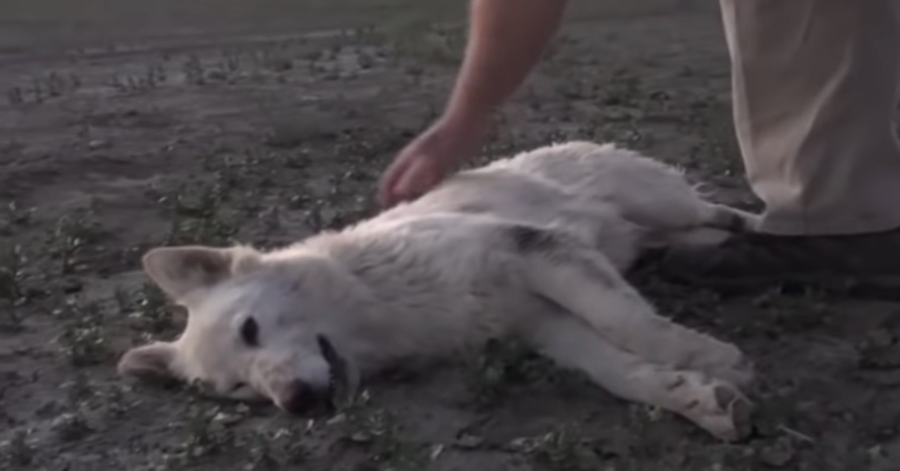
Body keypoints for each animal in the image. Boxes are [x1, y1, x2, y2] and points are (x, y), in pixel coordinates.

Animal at [114, 140, 760, 442]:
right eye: (238, 392)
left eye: (250, 329)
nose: (296, 404)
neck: (379, 297)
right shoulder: (543, 324)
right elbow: (620, 369)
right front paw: (698, 399)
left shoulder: (532, 250)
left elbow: (631, 324)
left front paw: (711, 357)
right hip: (652, 228)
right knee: (686, 232)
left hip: (659, 201)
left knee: (719, 211)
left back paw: (754, 227)